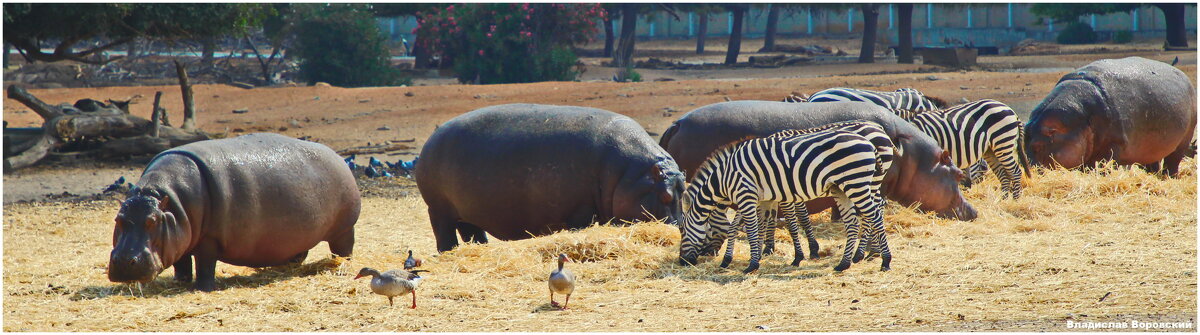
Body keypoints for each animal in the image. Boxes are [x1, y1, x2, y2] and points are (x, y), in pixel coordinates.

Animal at [681, 123, 897, 273]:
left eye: (682, 230)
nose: (681, 261)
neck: (726, 177)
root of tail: (875, 132)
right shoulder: (763, 197)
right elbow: (756, 224)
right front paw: (756, 254)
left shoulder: (751, 195)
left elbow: (771, 226)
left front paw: (759, 262)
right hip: (848, 186)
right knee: (860, 218)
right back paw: (851, 260)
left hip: (859, 182)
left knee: (874, 214)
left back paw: (881, 258)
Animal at [892, 99, 1032, 199]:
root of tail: (1010, 110)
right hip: (991, 150)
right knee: (1004, 174)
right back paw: (1002, 201)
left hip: (1003, 143)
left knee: (1015, 172)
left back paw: (1015, 201)